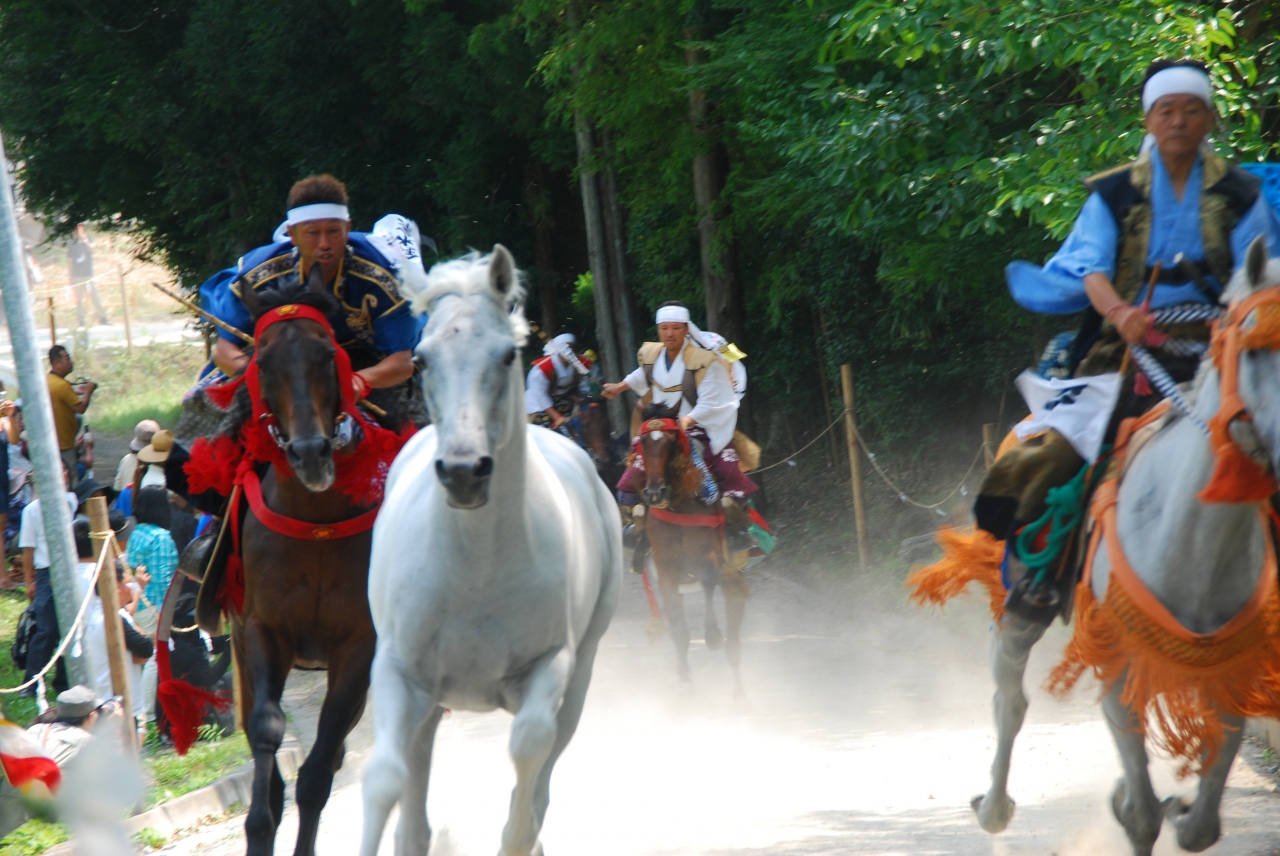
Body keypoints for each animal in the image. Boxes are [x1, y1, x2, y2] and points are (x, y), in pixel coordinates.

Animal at [192, 268, 376, 854]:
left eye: (328, 354)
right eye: (265, 362)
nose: (311, 452)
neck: (314, 520)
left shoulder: (359, 646)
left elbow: (317, 772)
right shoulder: (260, 631)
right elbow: (267, 734)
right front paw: (259, 825)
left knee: (332, 754)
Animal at [358, 245, 622, 854]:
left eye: (505, 355)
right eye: (421, 360)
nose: (463, 472)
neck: (476, 568)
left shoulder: (550, 667)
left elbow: (530, 748)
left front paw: (517, 838)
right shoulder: (398, 672)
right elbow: (383, 778)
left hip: (581, 671)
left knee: (545, 764)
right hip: (429, 702)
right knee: (414, 789)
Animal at [640, 401, 747, 685]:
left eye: (671, 441)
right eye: (643, 441)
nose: (655, 493)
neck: (679, 506)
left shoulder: (711, 555)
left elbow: (709, 578)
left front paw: (711, 633)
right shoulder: (665, 569)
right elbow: (678, 628)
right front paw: (685, 681)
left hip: (732, 580)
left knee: (734, 640)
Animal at [972, 235, 1280, 854]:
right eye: (1255, 347)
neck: (1196, 543)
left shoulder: (1233, 669)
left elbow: (1200, 822)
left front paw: (1180, 808)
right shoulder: (1116, 664)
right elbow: (1140, 815)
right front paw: (1132, 804)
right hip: (1017, 602)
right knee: (1010, 699)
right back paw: (993, 807)